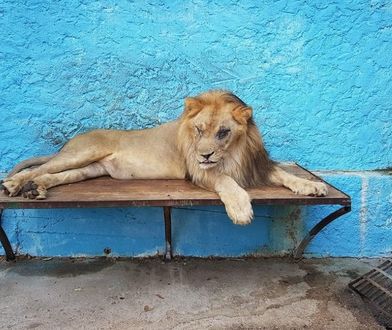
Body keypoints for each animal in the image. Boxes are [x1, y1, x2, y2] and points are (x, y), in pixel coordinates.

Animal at [1, 90, 328, 224]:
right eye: (198, 129)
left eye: (223, 132)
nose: (204, 154)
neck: (234, 152)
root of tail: (73, 140)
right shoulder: (199, 171)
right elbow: (226, 181)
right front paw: (240, 209)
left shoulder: (256, 165)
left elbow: (286, 173)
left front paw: (312, 185)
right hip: (84, 152)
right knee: (38, 168)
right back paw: (14, 185)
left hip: (90, 169)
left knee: (51, 175)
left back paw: (35, 189)